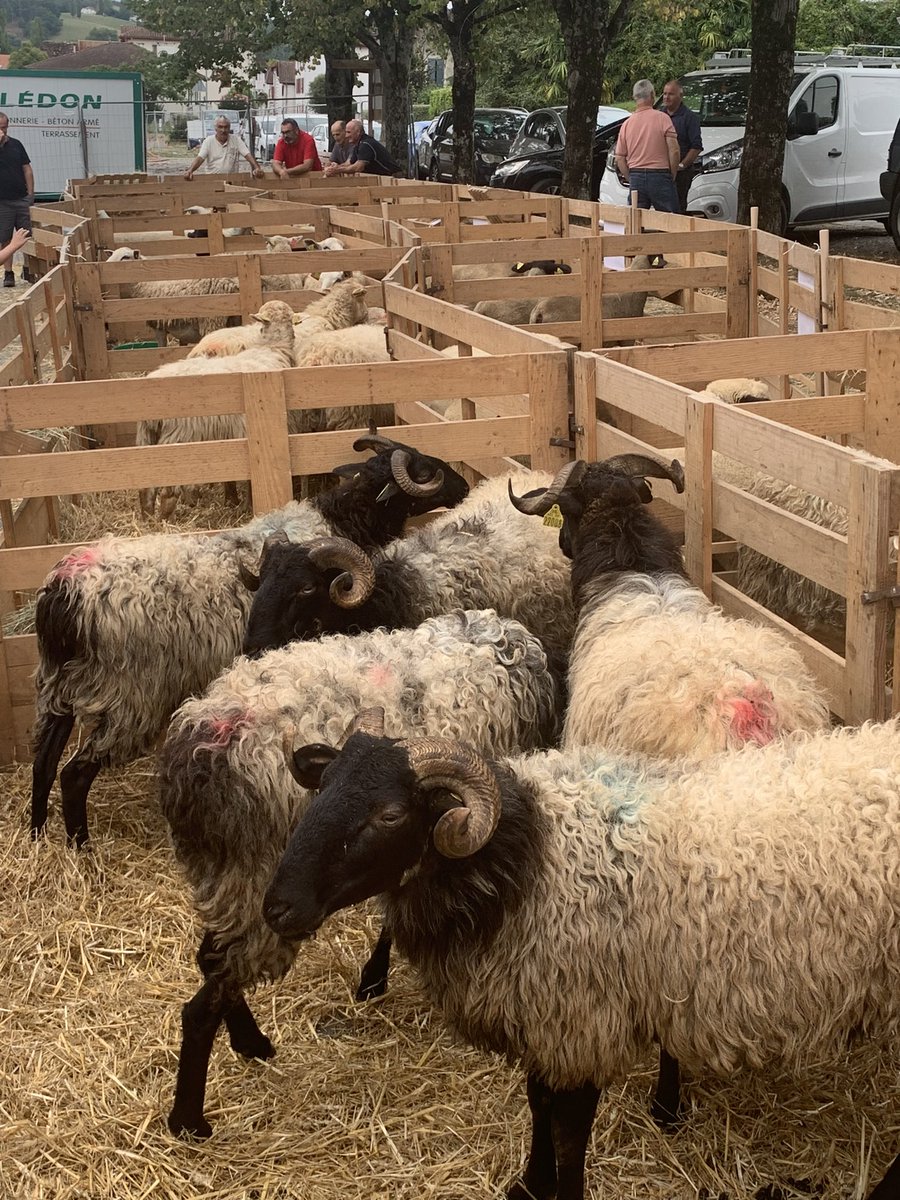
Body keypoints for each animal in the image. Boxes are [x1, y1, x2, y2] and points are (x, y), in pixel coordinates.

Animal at [30, 436, 465, 849]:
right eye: (423, 468)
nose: (462, 486)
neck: (344, 522)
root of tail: (63, 593)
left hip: (61, 685)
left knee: (44, 759)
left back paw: (37, 834)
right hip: (128, 697)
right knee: (74, 773)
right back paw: (80, 847)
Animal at [157, 614, 564, 1137]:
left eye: (388, 815)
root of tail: (196, 755)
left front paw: (373, 977)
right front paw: (374, 978)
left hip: (231, 882)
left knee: (211, 961)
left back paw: (249, 1043)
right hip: (255, 884)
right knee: (206, 997)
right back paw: (190, 1117)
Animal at [264, 710, 900, 1200]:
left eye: (390, 815)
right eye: (321, 790)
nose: (277, 907)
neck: (527, 859)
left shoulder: (579, 1021)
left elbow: (569, 1130)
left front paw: (557, 1186)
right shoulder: (544, 1017)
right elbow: (536, 1103)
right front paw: (529, 1184)